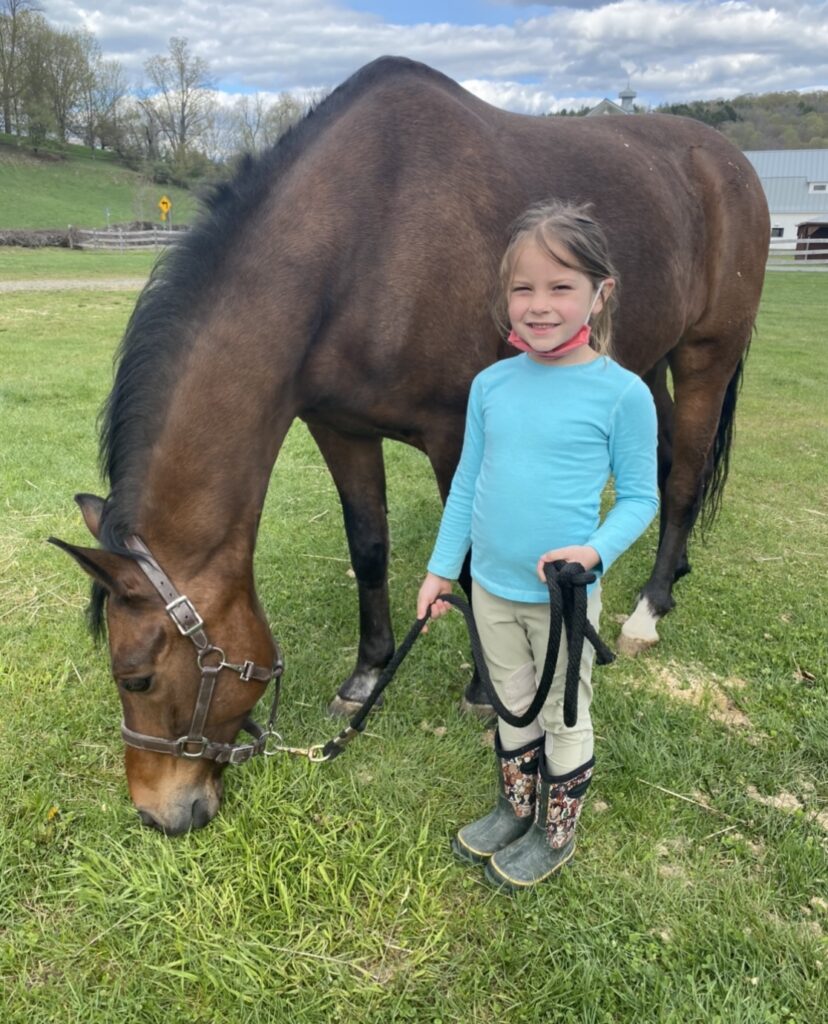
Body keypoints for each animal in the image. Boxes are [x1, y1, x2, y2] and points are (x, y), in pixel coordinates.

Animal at [48, 56, 765, 835]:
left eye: (137, 677)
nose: (160, 813)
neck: (362, 241)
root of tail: (729, 161)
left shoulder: (459, 432)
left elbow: (476, 568)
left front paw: (484, 690)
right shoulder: (339, 427)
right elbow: (368, 545)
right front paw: (367, 674)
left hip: (705, 355)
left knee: (684, 476)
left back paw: (649, 610)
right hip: (645, 362)